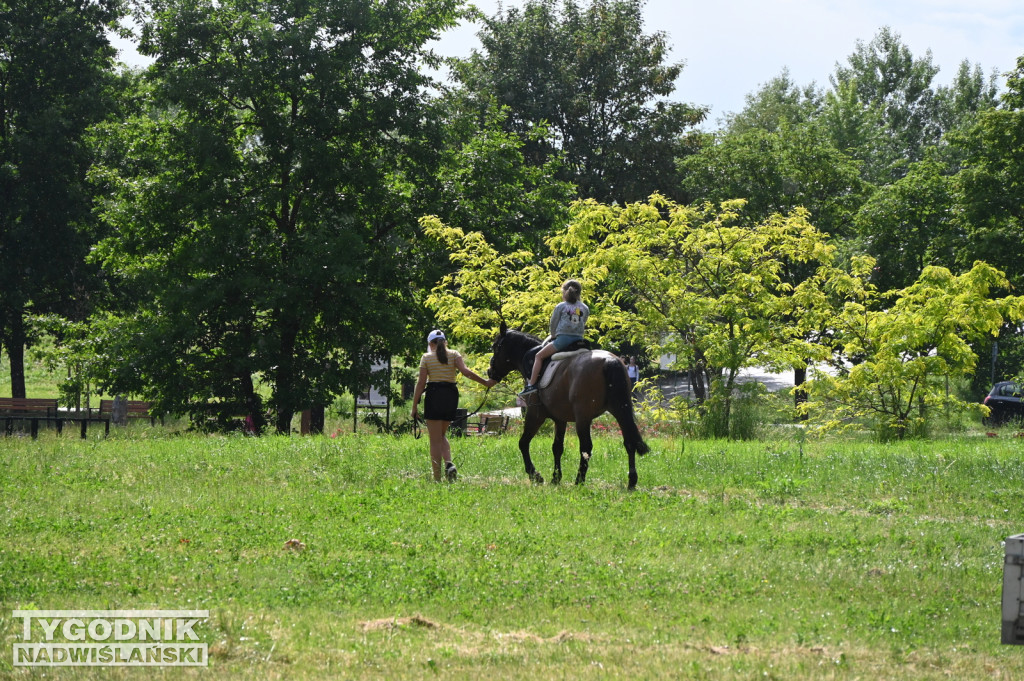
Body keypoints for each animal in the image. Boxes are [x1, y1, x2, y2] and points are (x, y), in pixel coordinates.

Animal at [485, 323, 647, 489]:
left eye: (495, 347)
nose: (489, 372)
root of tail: (609, 361)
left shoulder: (535, 414)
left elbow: (523, 443)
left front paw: (535, 475)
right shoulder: (560, 420)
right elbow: (557, 447)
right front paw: (556, 478)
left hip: (583, 418)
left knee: (586, 447)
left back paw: (579, 480)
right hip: (620, 411)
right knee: (629, 442)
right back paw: (631, 480)